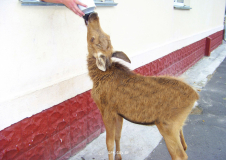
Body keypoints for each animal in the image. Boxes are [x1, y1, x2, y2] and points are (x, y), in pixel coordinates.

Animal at [85, 12, 199, 160]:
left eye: (92, 39)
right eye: (106, 36)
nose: (93, 14)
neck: (97, 77)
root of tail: (196, 97)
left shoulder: (106, 110)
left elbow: (109, 143)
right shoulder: (118, 112)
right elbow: (118, 136)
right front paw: (119, 157)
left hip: (168, 126)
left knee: (180, 155)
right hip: (177, 125)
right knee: (184, 143)